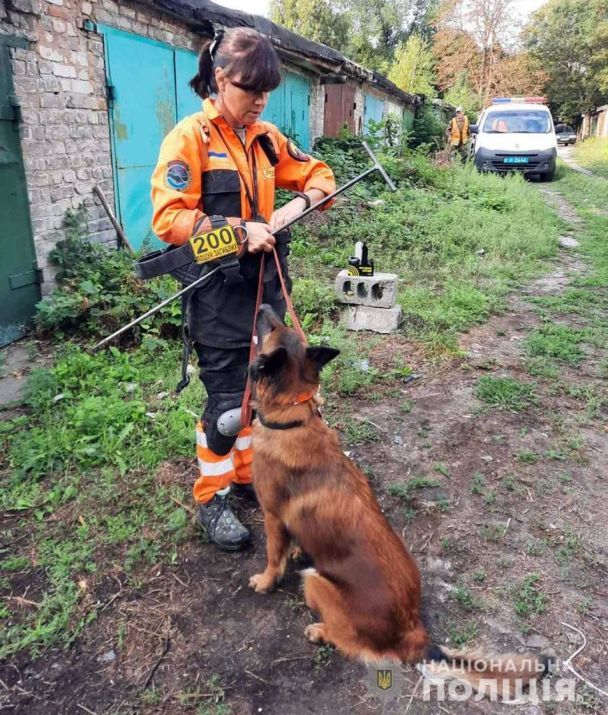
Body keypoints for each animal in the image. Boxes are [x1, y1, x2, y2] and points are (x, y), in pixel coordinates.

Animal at [245, 304, 548, 696]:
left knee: (353, 643)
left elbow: (273, 556)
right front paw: (297, 549)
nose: (265, 306)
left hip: (315, 581)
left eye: (272, 327)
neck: (292, 418)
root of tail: (415, 633)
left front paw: (266, 581)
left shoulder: (271, 515)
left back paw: (321, 631)